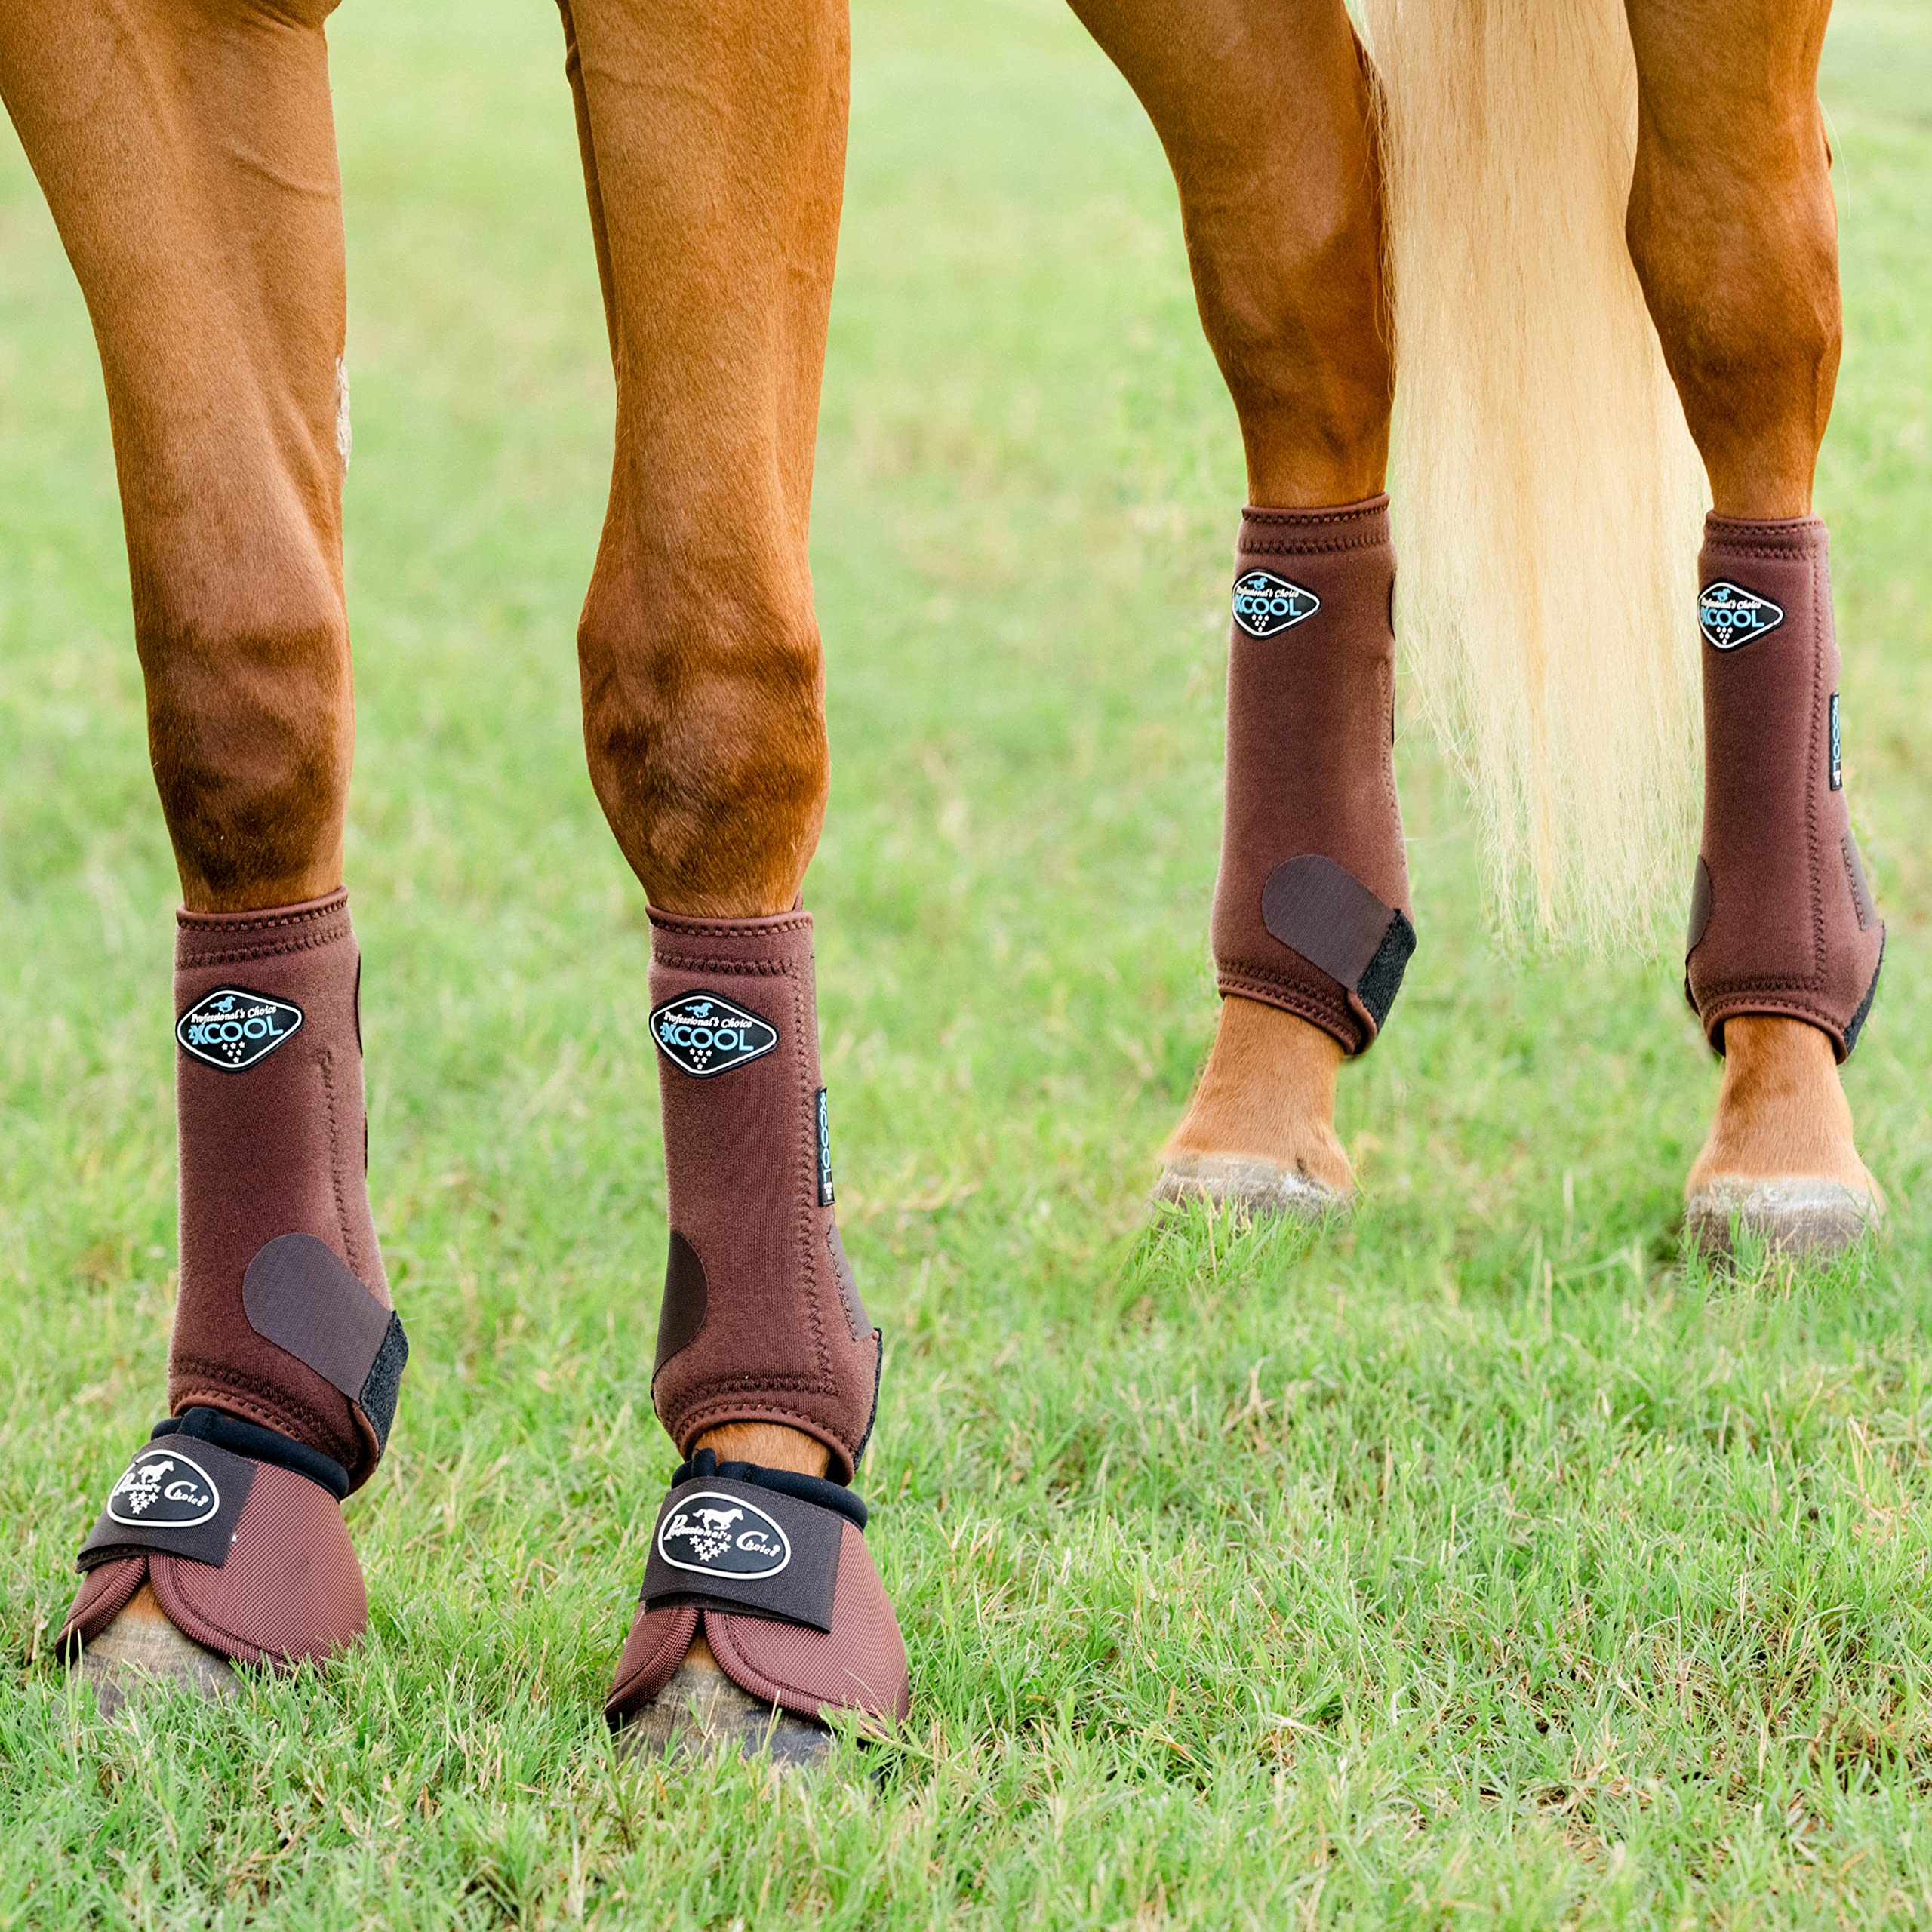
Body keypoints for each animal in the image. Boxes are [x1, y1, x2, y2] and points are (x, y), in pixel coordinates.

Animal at [3, 0, 1882, 1755]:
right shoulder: (128, 37)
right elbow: (238, 678)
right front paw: (226, 1484)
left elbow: (701, 685)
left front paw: (748, 1533)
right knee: (1305, 270)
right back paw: (1263, 1086)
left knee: (1741, 298)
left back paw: (1783, 1095)